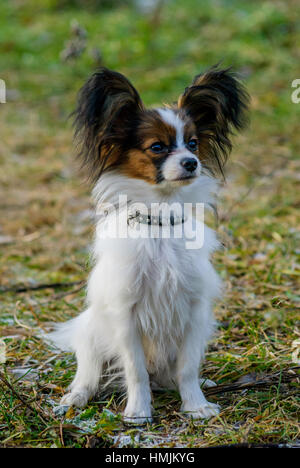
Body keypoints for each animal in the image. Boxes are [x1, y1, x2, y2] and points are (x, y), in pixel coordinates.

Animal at [49, 66, 248, 424]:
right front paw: (138, 412)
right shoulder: (125, 315)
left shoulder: (195, 311)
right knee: (88, 375)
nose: (191, 162)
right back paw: (74, 399)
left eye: (193, 144)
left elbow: (187, 368)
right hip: (90, 334)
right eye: (157, 147)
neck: (160, 224)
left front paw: (195, 405)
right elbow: (135, 370)